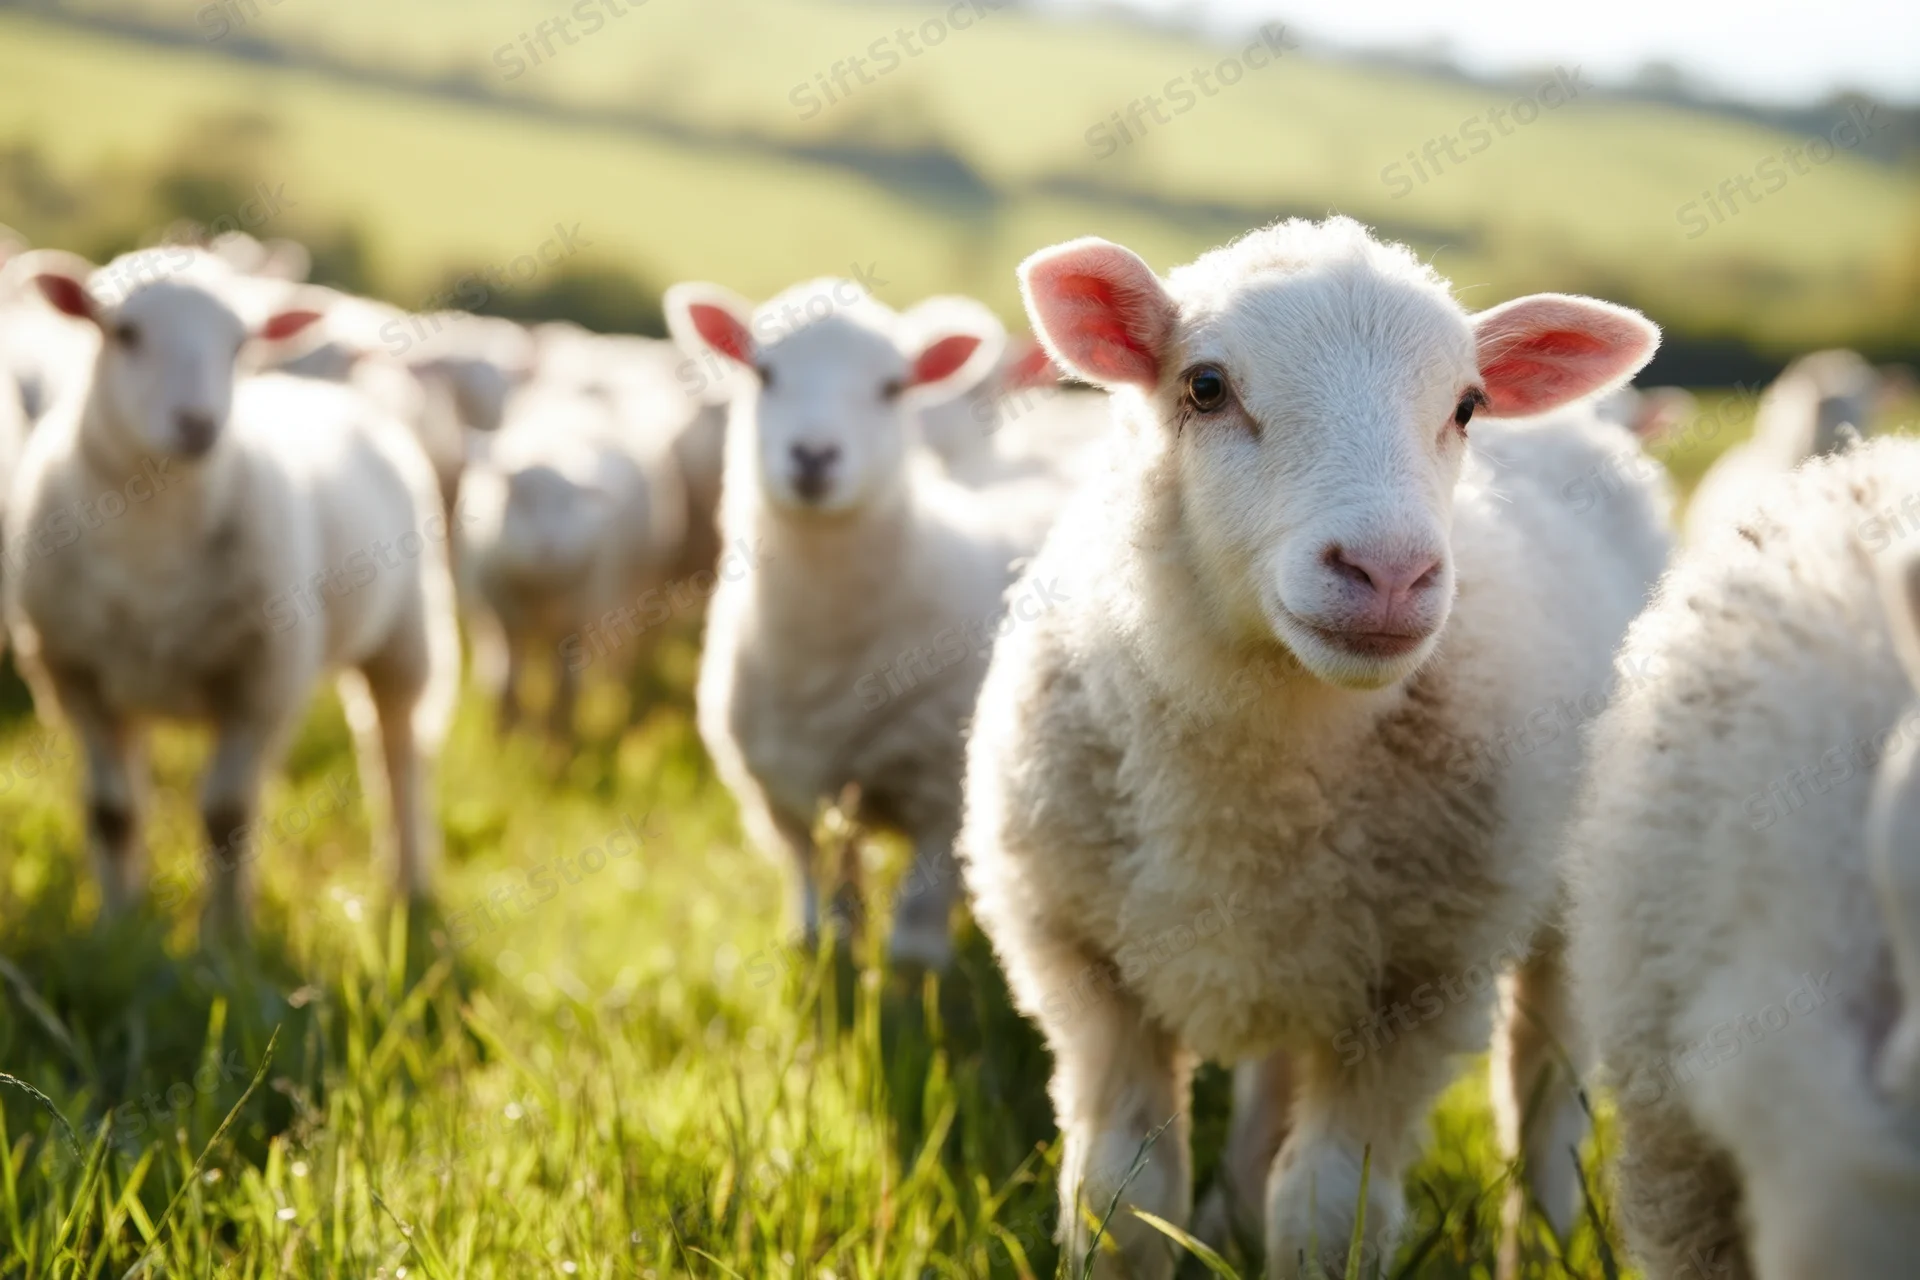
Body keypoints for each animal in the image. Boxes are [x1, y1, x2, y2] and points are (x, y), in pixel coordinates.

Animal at [2, 247, 459, 937]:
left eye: (240, 344)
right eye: (124, 333)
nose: (197, 425)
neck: (154, 536)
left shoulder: (261, 684)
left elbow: (227, 819)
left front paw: (224, 940)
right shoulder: (75, 676)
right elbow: (112, 811)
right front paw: (117, 928)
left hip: (406, 636)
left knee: (397, 752)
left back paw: (409, 886)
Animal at [457, 376, 687, 739]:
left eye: (572, 503)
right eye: (516, 498)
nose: (546, 546)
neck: (540, 595)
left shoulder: (579, 625)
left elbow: (566, 686)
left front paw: (558, 741)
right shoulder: (504, 621)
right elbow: (507, 681)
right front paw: (506, 735)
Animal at [665, 276, 1073, 969]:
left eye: (892, 387)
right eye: (764, 373)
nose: (813, 456)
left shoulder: (943, 787)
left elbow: (916, 921)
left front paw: (921, 974)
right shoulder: (783, 790)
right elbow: (822, 890)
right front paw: (824, 946)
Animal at [956, 216, 1671, 1279]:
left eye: (1467, 406)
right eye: (1206, 386)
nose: (1389, 571)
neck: (1257, 765)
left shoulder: (1414, 992)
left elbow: (1327, 1213)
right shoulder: (1079, 965)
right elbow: (1122, 1201)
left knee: (1546, 1104)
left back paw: (1539, 1242)